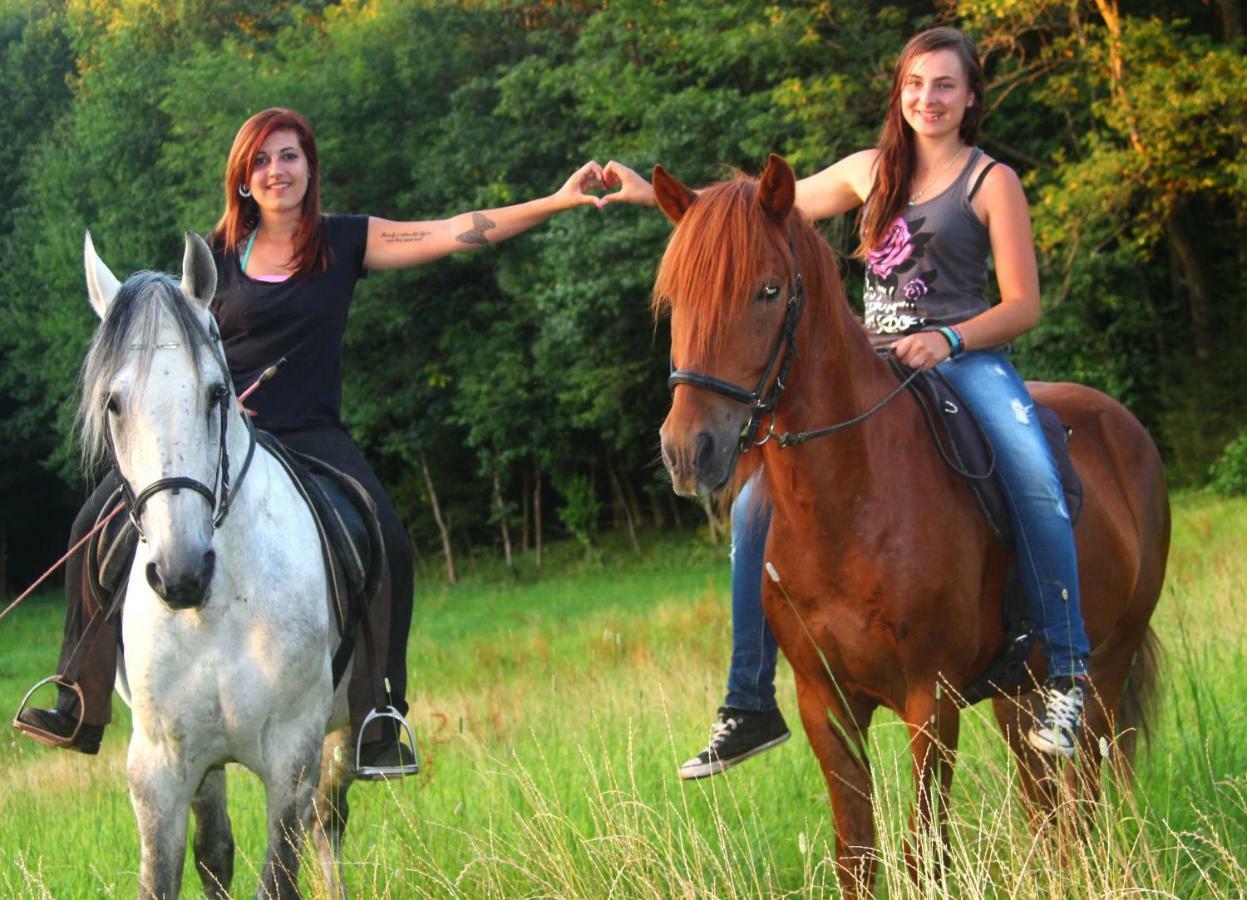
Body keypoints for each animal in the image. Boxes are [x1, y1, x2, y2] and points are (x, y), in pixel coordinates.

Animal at [81, 233, 356, 897]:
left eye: (216, 393)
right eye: (113, 403)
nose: (180, 573)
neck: (217, 610)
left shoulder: (292, 755)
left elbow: (280, 875)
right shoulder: (161, 767)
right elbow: (184, 869)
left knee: (328, 826)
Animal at [653, 154, 1167, 892]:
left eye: (769, 290)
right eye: (673, 299)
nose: (688, 451)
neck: (851, 502)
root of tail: (1124, 426)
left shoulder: (933, 700)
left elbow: (923, 853)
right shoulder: (826, 706)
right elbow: (857, 856)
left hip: (1105, 665)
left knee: (1080, 799)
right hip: (1018, 693)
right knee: (1043, 803)